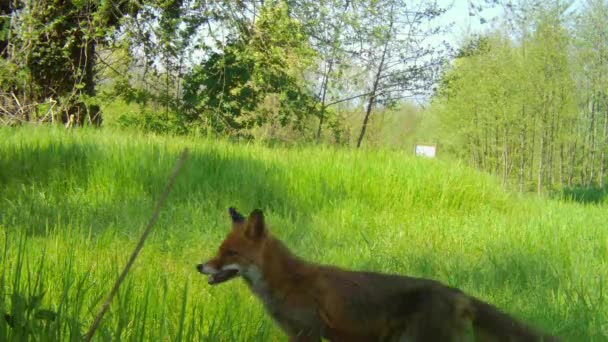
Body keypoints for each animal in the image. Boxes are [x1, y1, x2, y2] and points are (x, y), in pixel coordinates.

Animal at [197, 207, 560, 340]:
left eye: (230, 253)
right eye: (219, 250)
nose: (199, 266)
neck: (288, 281)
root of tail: (460, 294)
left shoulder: (309, 334)